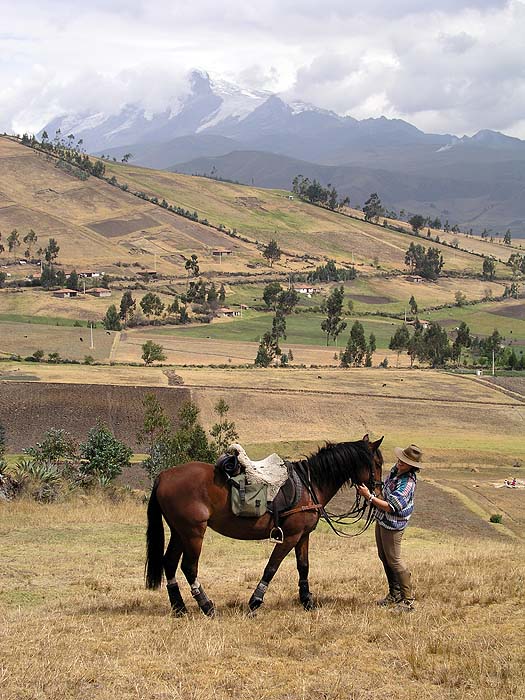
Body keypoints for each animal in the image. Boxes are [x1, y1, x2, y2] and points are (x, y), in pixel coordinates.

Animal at [145, 434, 382, 616]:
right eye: (377, 464)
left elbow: (303, 566)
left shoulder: (303, 536)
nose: (378, 493)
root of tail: (164, 475)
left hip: (179, 531)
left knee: (169, 563)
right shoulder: (290, 536)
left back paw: (179, 608)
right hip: (193, 532)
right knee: (189, 567)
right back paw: (207, 606)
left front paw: (307, 601)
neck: (310, 484)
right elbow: (271, 567)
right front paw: (255, 601)